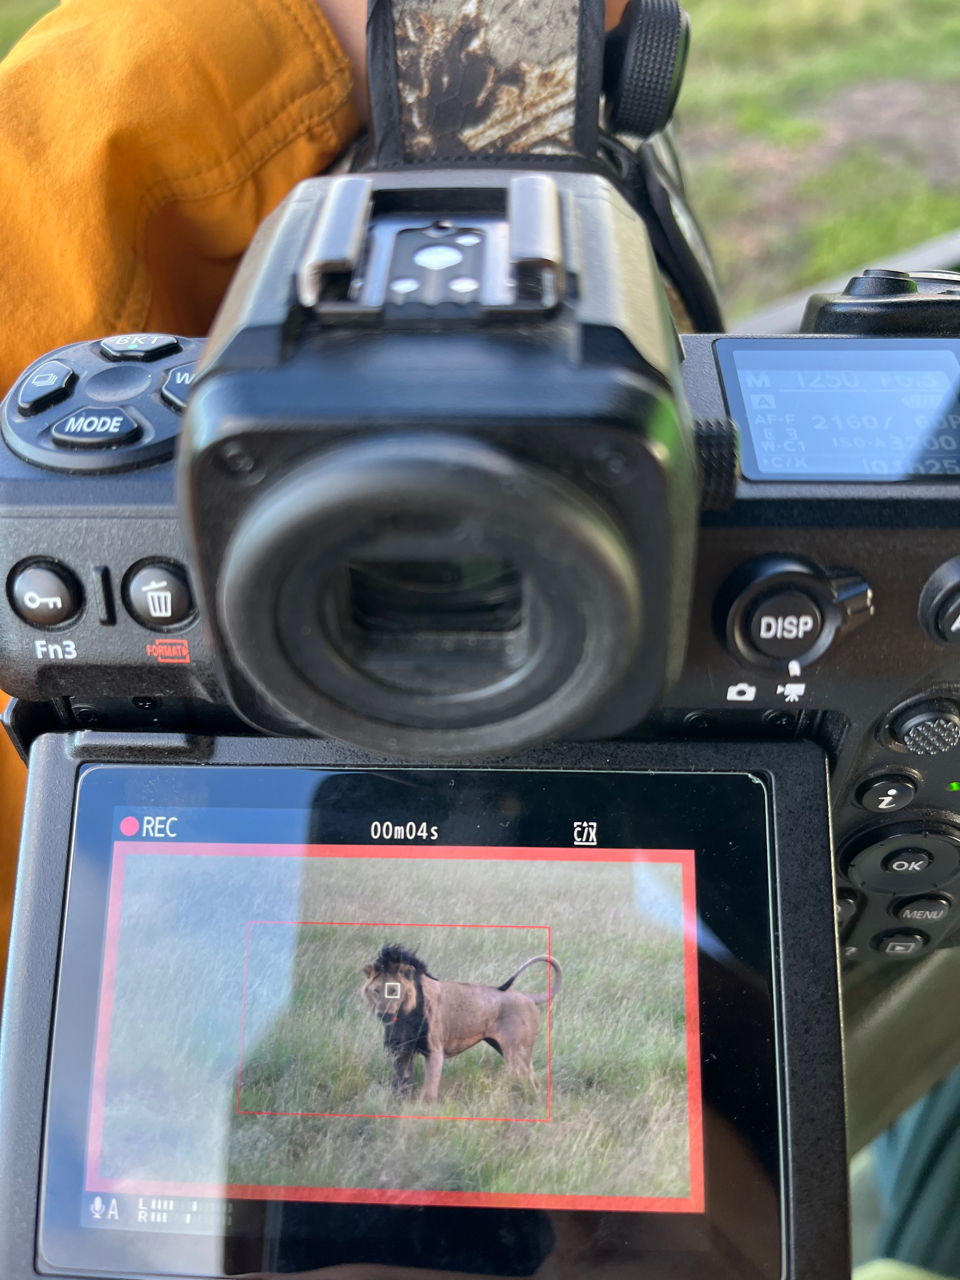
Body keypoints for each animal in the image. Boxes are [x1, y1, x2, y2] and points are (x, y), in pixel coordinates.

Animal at [366, 942, 563, 1100]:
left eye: (393, 990)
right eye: (376, 991)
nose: (383, 1013)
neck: (405, 1015)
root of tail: (529, 997)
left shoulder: (435, 1051)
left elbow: (428, 1091)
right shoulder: (401, 1051)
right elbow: (400, 1085)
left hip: (515, 1054)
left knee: (529, 1084)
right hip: (513, 1051)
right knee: (535, 1082)